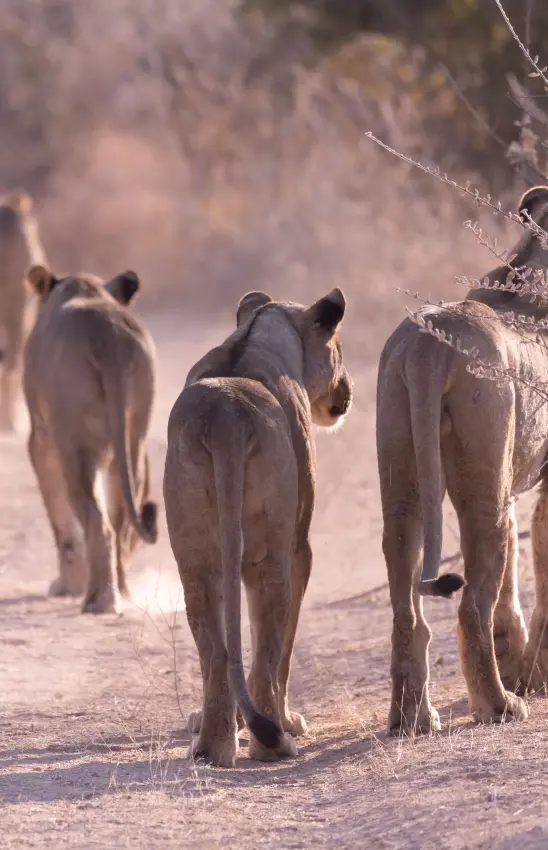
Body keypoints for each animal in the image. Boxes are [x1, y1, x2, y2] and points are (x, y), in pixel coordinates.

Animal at [23, 264, 158, 614]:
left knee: (99, 522)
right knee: (121, 519)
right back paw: (122, 592)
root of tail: (107, 334)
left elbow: (61, 521)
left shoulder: (41, 440)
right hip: (133, 439)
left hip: (76, 445)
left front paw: (66, 586)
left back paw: (99, 600)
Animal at [163, 289, 353, 767]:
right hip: (273, 552)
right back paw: (274, 741)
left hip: (195, 557)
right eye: (339, 349)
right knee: (269, 644)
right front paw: (289, 720)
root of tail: (225, 415)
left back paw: (212, 745)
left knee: (215, 649)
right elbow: (282, 649)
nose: (346, 391)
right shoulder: (301, 546)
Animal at [377, 185, 548, 736]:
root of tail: (427, 344)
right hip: (480, 490)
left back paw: (412, 717)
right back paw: (498, 705)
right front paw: (534, 676)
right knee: (471, 604)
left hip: (405, 473)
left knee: (406, 606)